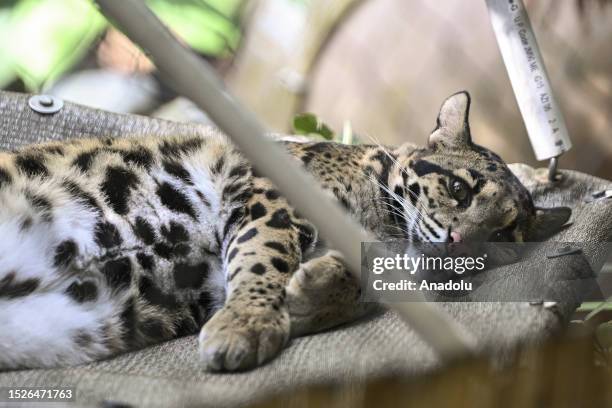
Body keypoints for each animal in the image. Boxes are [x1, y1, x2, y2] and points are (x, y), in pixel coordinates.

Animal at [0, 91, 568, 370]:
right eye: (458, 188)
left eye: (503, 235)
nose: (458, 244)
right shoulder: (272, 195)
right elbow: (263, 256)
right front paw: (248, 324)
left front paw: (315, 294)